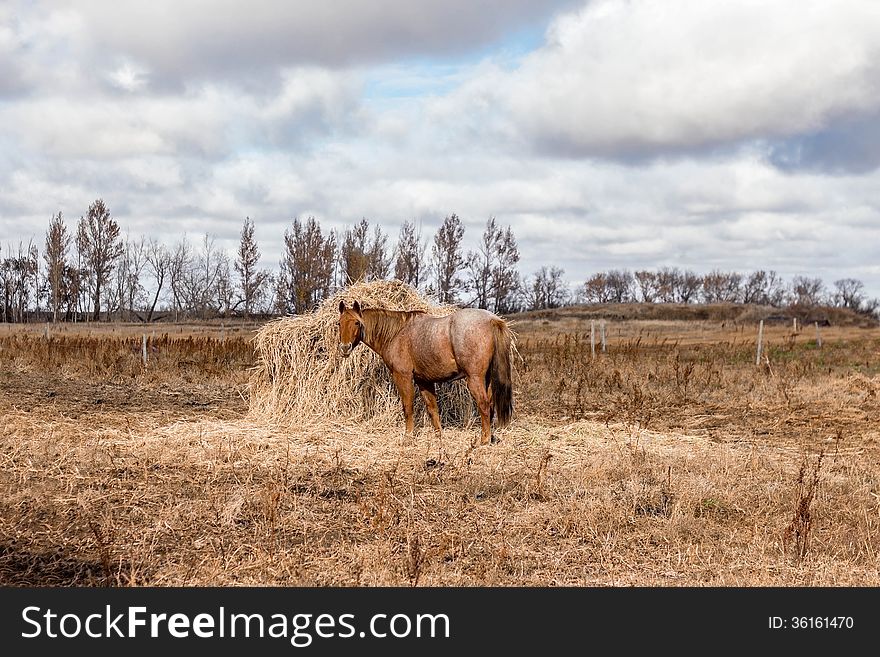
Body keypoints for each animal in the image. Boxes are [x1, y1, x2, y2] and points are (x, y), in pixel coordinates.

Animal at [338, 298, 516, 446]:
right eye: (339, 323)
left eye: (357, 323)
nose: (345, 348)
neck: (396, 333)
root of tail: (493, 320)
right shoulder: (424, 381)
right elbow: (432, 409)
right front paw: (439, 437)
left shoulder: (403, 377)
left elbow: (408, 407)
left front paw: (408, 437)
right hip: (486, 379)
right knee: (490, 405)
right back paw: (489, 437)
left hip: (474, 378)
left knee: (484, 405)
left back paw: (483, 440)